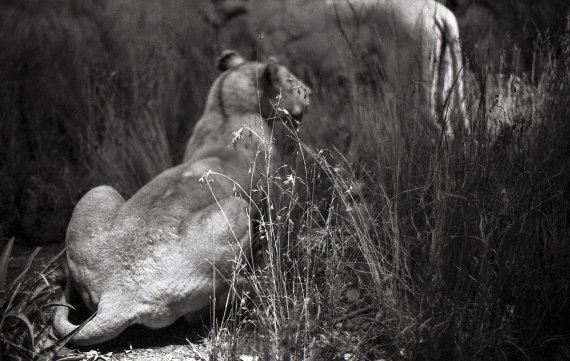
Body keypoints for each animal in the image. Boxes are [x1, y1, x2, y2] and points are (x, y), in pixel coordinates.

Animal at [53, 50, 310, 344]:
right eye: (291, 80)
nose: (310, 93)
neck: (228, 108)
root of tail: (116, 296)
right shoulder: (271, 193)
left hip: (99, 190)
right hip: (237, 209)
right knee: (201, 311)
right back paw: (254, 284)